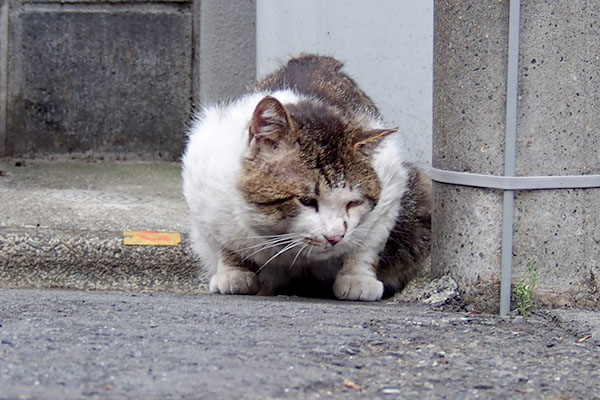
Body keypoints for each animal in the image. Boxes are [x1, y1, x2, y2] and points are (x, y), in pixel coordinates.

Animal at [180, 54, 428, 302]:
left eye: (353, 203)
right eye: (306, 200)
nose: (335, 236)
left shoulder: (392, 186)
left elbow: (366, 245)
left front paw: (358, 278)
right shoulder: (202, 184)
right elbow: (225, 242)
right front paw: (233, 272)